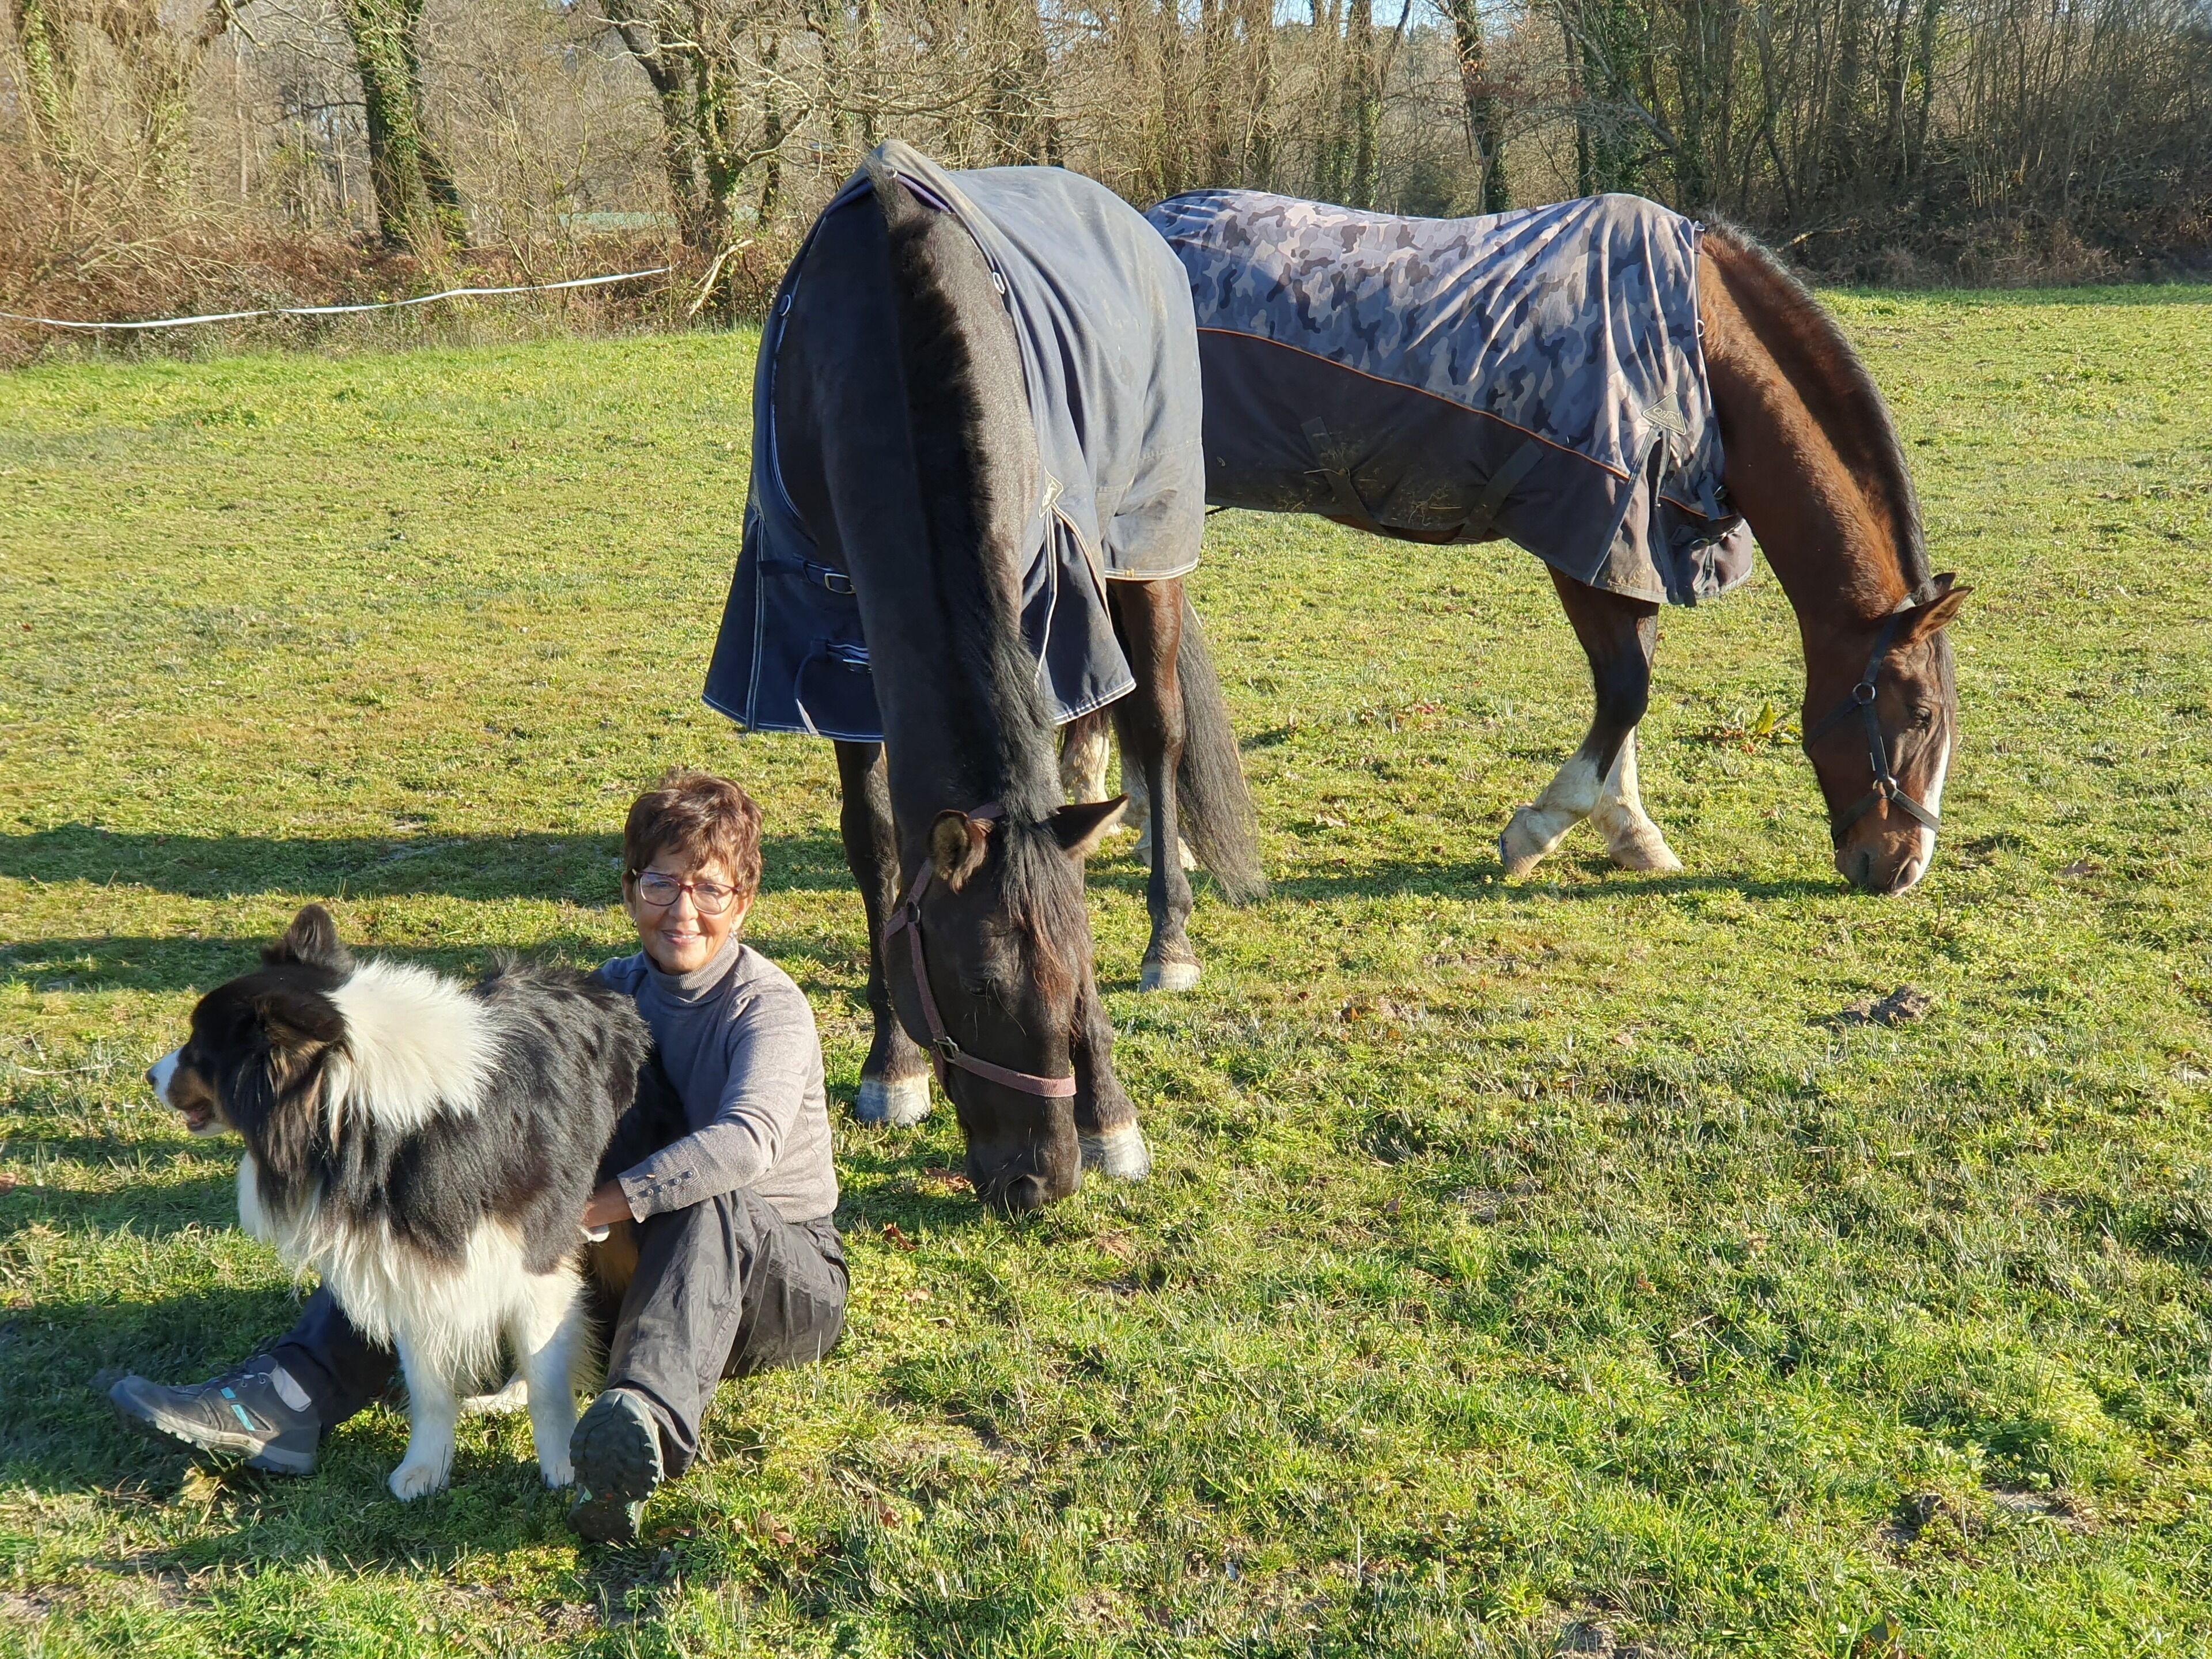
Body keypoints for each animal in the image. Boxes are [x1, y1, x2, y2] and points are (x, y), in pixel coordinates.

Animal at [704, 143, 1260, 1209]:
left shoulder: (1050, 602)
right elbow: (876, 843)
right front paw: (892, 1066)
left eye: (1081, 974)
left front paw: (1113, 1116)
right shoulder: (834, 638)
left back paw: (1170, 935)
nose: (1042, 1182)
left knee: (1161, 729)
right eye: (977, 988)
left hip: (1144, 549)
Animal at [1124, 190, 1967, 895]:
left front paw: (1631, 832)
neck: (1691, 350)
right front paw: (1539, 830)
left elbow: (1629, 689)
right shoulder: (1593, 538)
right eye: (1921, 712)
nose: (1901, 868)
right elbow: (1626, 690)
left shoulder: (1639, 550)